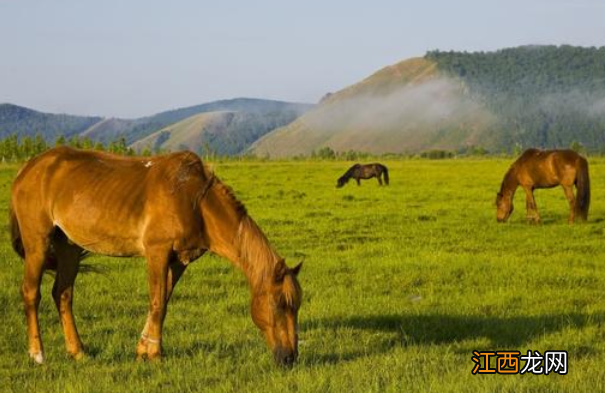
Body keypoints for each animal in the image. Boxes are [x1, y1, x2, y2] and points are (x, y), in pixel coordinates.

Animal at [9, 145, 302, 366]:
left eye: (295, 306)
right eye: (279, 304)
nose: (289, 358)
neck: (196, 201)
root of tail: (28, 168)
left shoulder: (179, 260)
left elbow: (164, 302)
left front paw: (143, 350)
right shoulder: (157, 252)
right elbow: (157, 302)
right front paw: (156, 355)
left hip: (68, 246)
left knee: (63, 294)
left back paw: (78, 351)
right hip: (37, 243)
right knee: (31, 293)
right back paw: (37, 354)